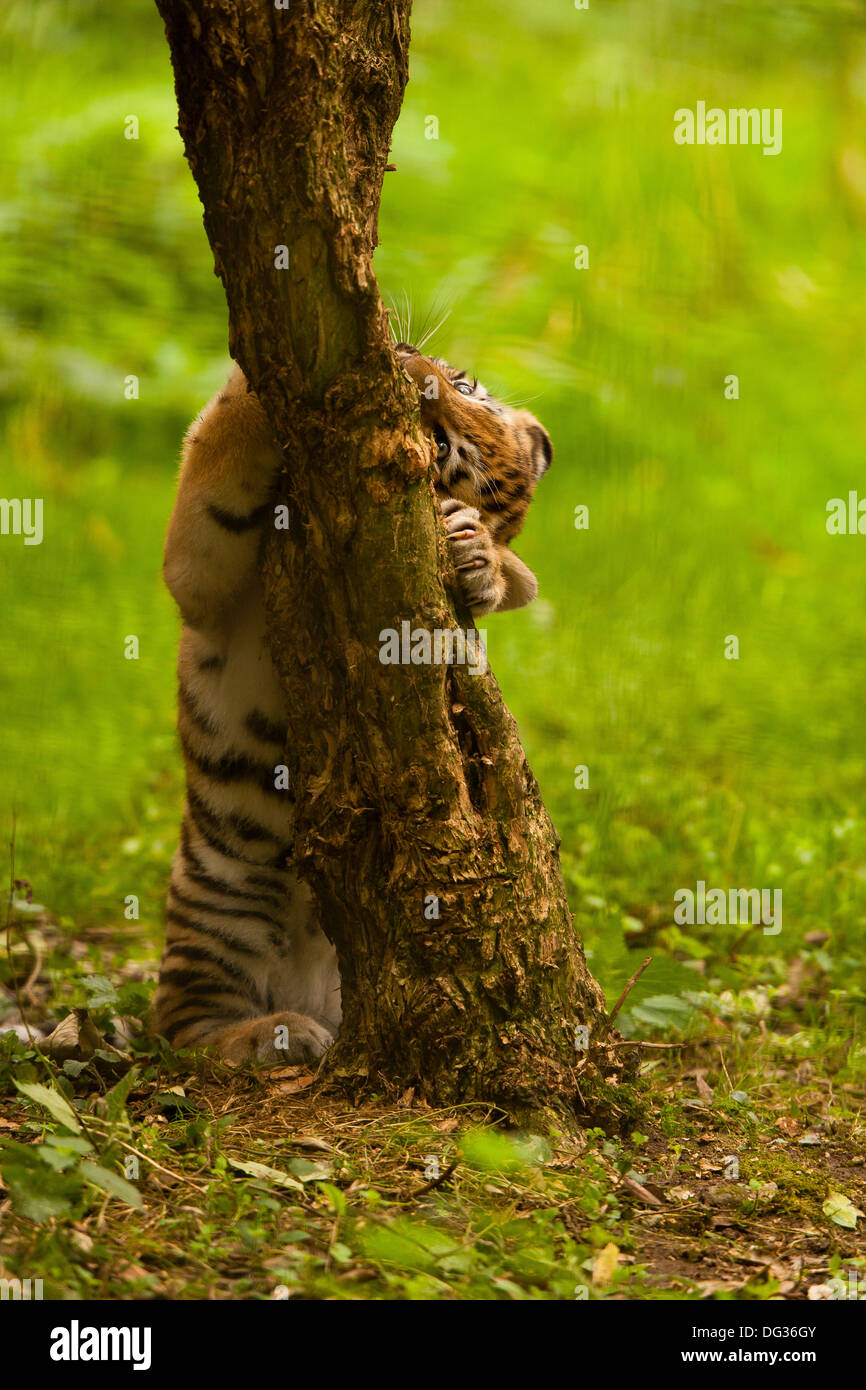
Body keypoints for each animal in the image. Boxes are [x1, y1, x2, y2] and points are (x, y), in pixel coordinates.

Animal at [153, 342, 553, 1063]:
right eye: (464, 386)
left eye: (442, 445)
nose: (410, 365)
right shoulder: (206, 586)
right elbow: (214, 447)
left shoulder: (201, 576)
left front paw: (477, 553)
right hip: (222, 897)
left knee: (182, 1031)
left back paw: (276, 1035)